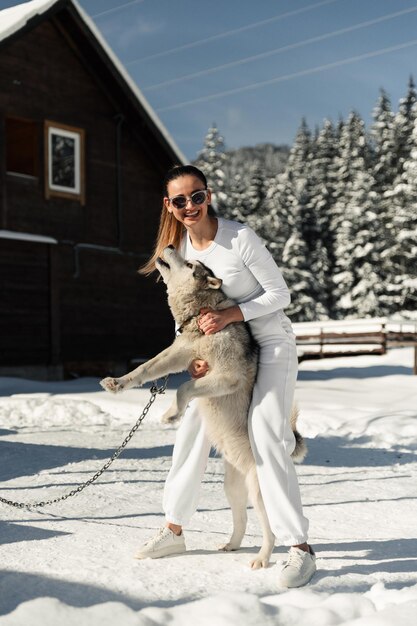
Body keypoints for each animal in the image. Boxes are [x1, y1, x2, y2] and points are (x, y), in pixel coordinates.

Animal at [99, 246, 304, 568]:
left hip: (260, 493)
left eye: (190, 263)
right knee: (241, 520)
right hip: (232, 489)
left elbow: (184, 387)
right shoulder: (176, 354)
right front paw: (116, 384)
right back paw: (231, 545)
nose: (171, 246)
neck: (199, 313)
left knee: (270, 530)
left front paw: (172, 414)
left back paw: (261, 559)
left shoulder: (225, 377)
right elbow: (143, 370)